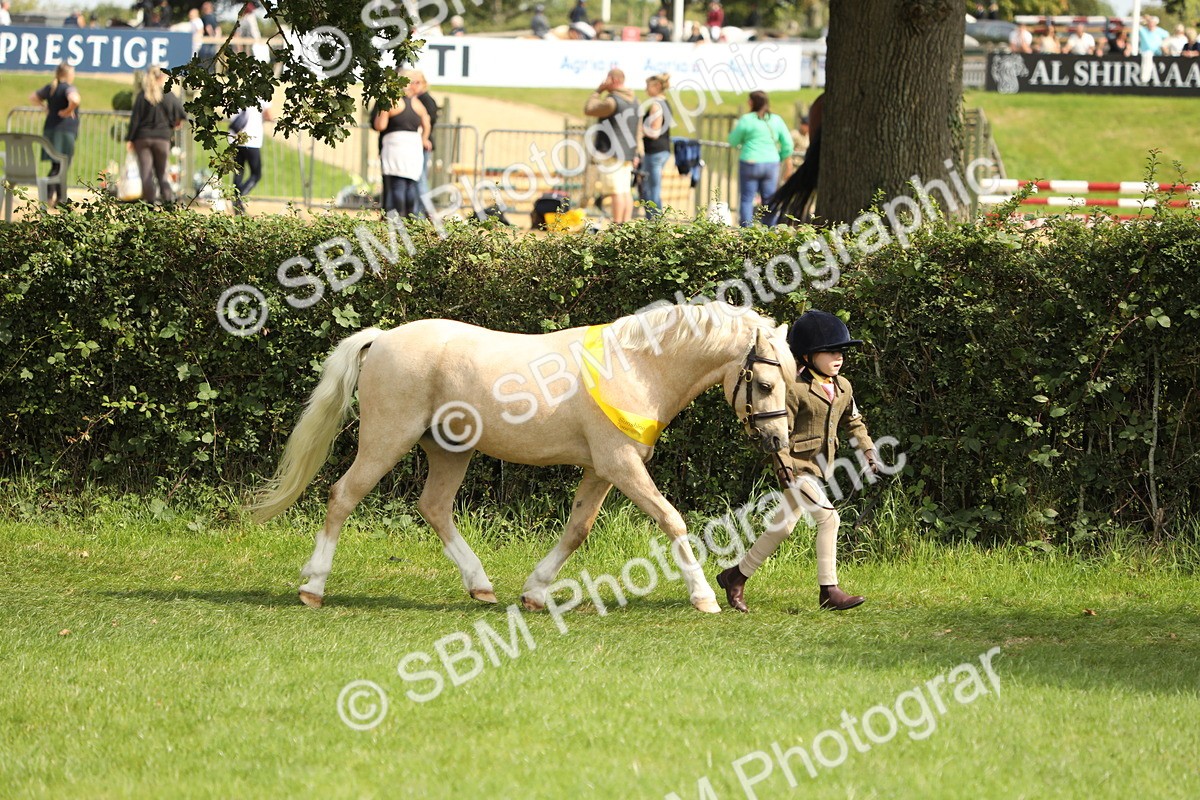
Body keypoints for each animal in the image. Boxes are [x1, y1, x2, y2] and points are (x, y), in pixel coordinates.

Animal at [249, 301, 796, 614]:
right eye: (767, 385)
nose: (779, 443)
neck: (636, 367)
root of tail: (382, 338)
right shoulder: (621, 465)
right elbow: (672, 520)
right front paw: (704, 597)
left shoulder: (599, 470)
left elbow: (577, 530)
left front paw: (534, 592)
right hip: (387, 439)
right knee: (343, 495)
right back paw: (313, 587)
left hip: (450, 450)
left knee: (434, 507)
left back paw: (481, 586)